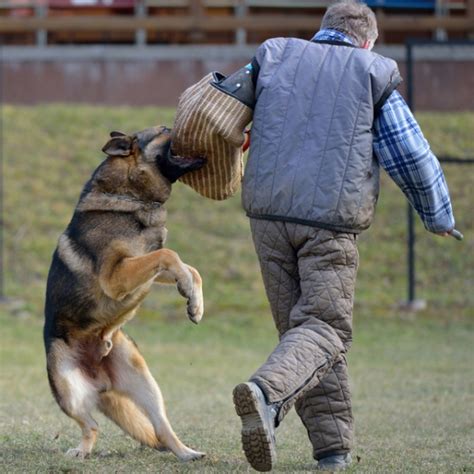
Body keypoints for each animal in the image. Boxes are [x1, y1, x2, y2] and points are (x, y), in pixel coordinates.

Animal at [44, 128, 206, 462]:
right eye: (165, 130)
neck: (130, 197)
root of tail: (99, 379)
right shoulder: (116, 275)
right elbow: (171, 254)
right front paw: (189, 293)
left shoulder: (144, 268)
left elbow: (189, 267)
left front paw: (195, 303)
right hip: (67, 389)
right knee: (92, 426)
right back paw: (80, 452)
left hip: (145, 383)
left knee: (161, 427)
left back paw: (186, 453)